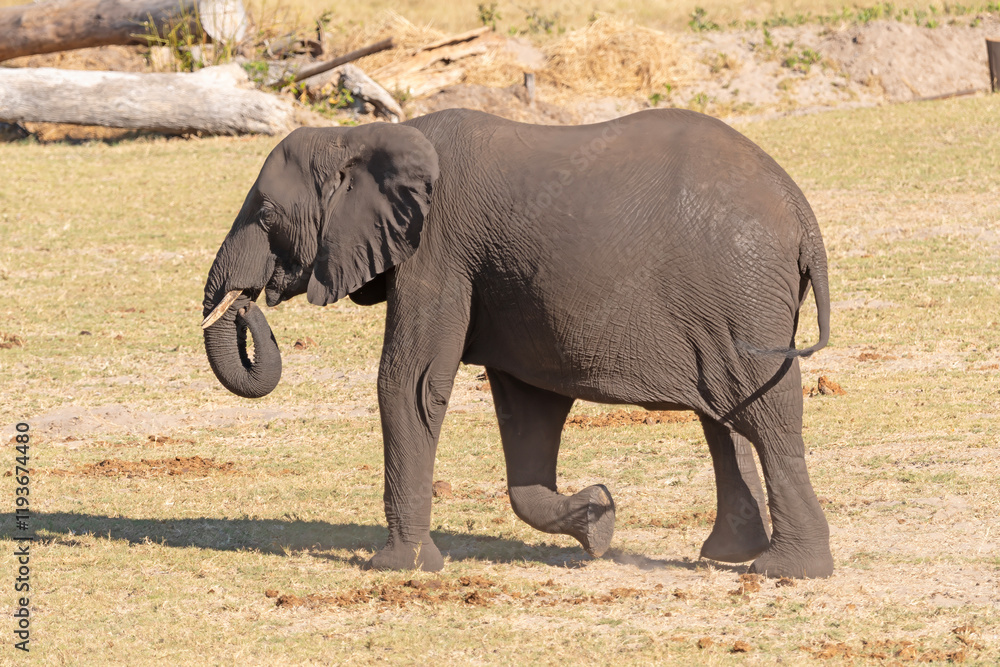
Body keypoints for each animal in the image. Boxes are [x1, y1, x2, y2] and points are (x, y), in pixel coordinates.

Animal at [201, 108, 834, 579]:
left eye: (266, 214)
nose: (247, 305)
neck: (361, 136)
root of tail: (802, 213)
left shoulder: (438, 250)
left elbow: (409, 384)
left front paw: (398, 568)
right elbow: (528, 411)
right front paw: (598, 517)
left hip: (738, 289)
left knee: (766, 412)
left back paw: (787, 571)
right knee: (724, 414)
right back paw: (727, 555)